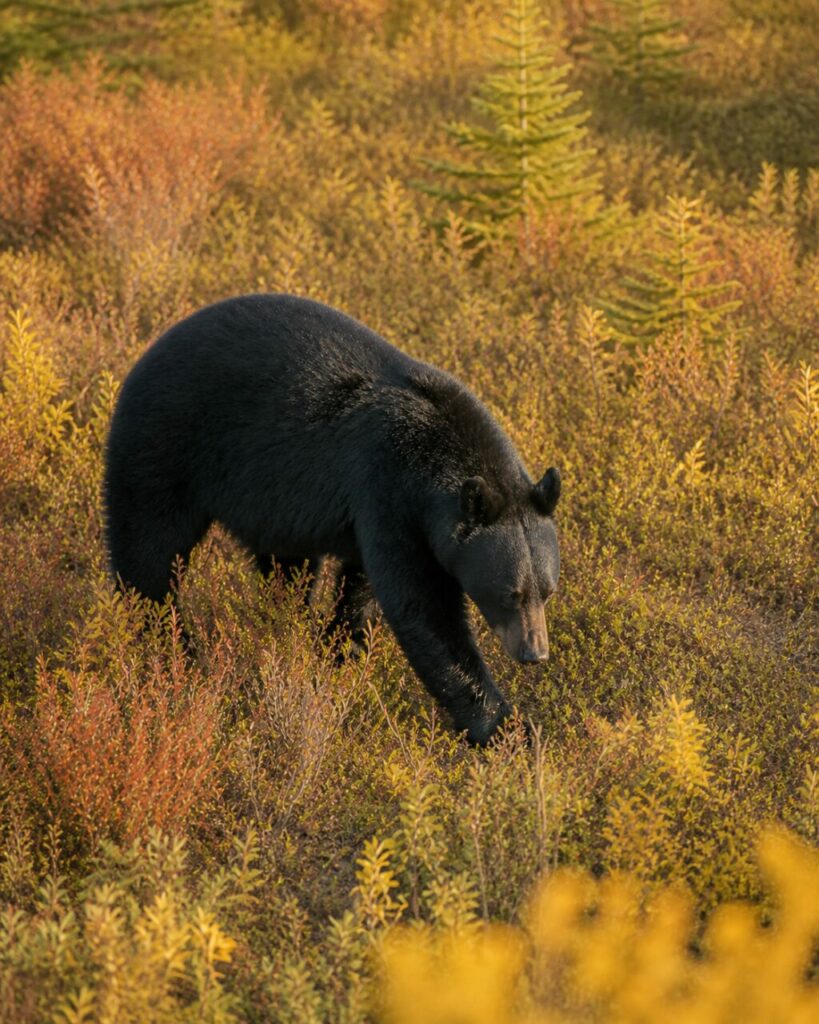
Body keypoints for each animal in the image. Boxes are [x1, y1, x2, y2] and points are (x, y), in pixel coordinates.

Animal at [104, 294, 561, 745]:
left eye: (547, 591)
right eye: (510, 594)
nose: (534, 653)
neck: (434, 450)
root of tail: (152, 349)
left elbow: (362, 588)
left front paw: (337, 649)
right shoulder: (386, 488)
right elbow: (422, 607)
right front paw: (507, 728)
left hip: (271, 499)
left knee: (287, 567)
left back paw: (287, 623)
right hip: (164, 443)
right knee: (148, 547)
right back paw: (173, 649)